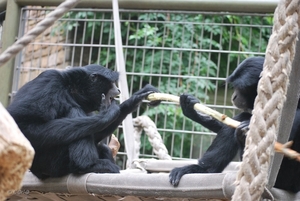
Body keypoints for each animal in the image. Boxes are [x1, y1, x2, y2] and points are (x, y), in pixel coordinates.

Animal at [6, 64, 159, 179]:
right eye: (111, 83)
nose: (118, 89)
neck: (71, 89)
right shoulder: (49, 81)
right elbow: (22, 125)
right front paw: (106, 114)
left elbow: (95, 132)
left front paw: (134, 100)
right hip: (49, 163)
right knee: (74, 111)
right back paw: (87, 166)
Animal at [169, 57, 300, 193]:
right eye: (234, 87)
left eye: (241, 88)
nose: (234, 96)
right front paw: (192, 111)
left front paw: (246, 131)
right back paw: (202, 169)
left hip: (288, 181)